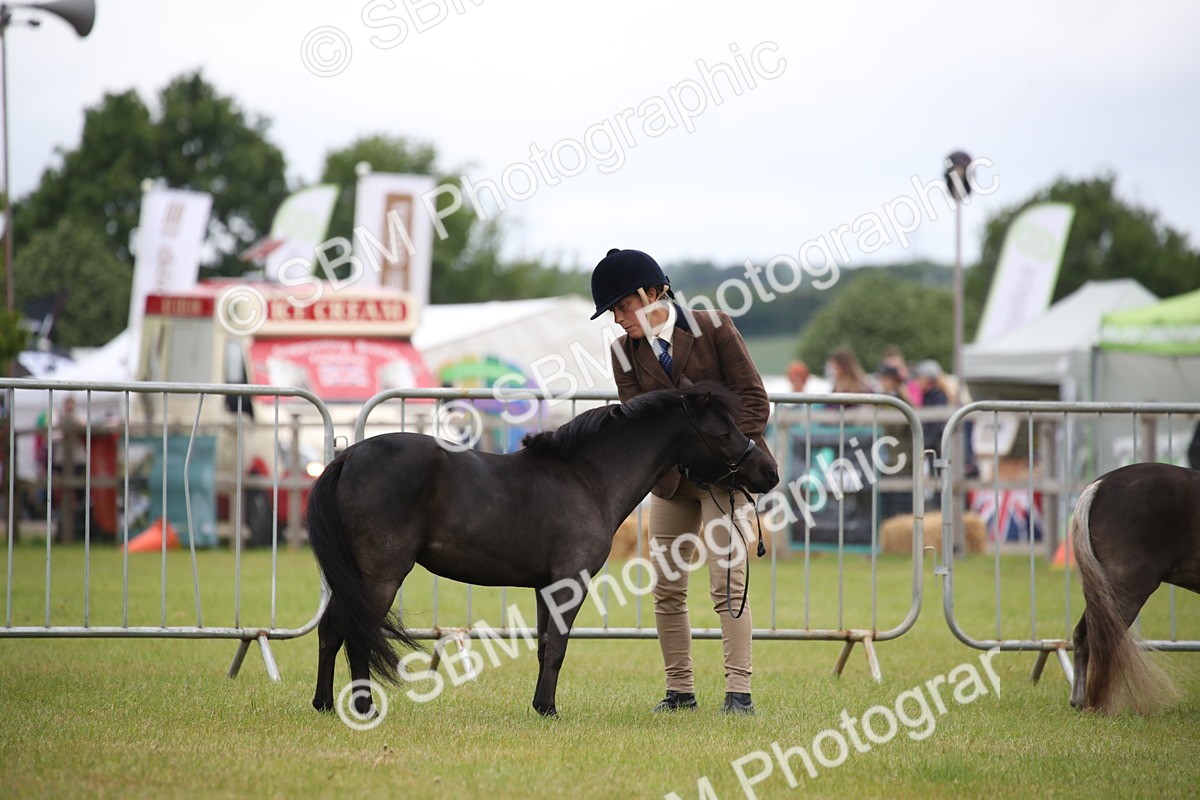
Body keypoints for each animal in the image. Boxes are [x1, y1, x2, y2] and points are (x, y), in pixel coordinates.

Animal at [307, 383, 779, 718]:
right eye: (722, 433)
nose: (770, 473)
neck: (587, 478)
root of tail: (347, 457)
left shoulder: (544, 587)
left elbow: (543, 645)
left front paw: (539, 704)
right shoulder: (570, 582)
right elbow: (558, 646)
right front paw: (549, 709)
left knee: (331, 628)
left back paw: (325, 705)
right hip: (381, 573)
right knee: (356, 631)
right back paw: (363, 707)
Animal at [1069, 462, 1200, 714]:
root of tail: (1100, 485)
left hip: (1101, 592)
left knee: (1082, 636)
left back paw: (1079, 702)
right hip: (1126, 590)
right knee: (1100, 642)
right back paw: (1097, 706)